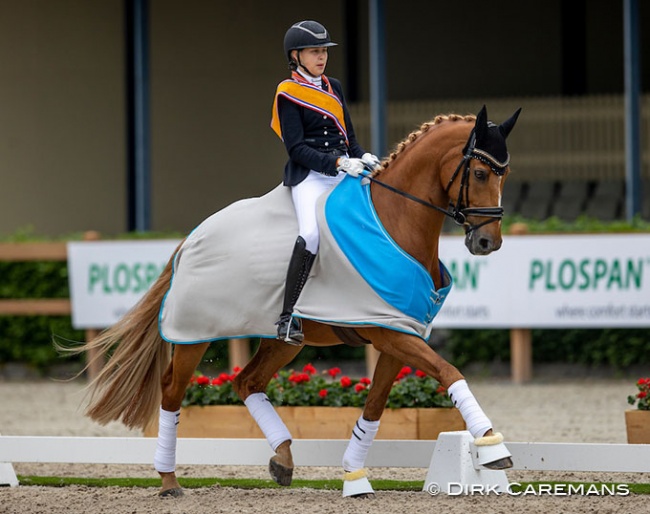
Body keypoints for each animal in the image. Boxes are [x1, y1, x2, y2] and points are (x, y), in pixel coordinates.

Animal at [77, 105, 520, 496]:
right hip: (194, 334)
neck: (394, 221)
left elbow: (375, 406)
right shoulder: (390, 334)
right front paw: (491, 446)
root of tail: (190, 239)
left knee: (246, 381)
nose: (488, 242)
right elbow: (449, 371)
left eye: (506, 174)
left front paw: (354, 477)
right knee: (172, 392)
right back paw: (169, 481)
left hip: (284, 341)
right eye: (480, 172)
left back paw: (283, 458)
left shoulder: (398, 334)